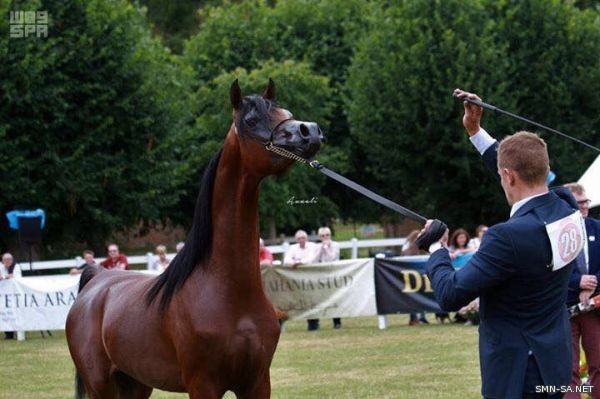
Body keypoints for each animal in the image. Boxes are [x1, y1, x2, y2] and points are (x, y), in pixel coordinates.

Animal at [65, 79, 324, 398]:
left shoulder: (258, 382)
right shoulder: (203, 385)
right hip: (100, 385)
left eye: (287, 113)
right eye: (251, 121)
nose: (309, 131)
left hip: (136, 383)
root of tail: (97, 280)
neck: (228, 291)